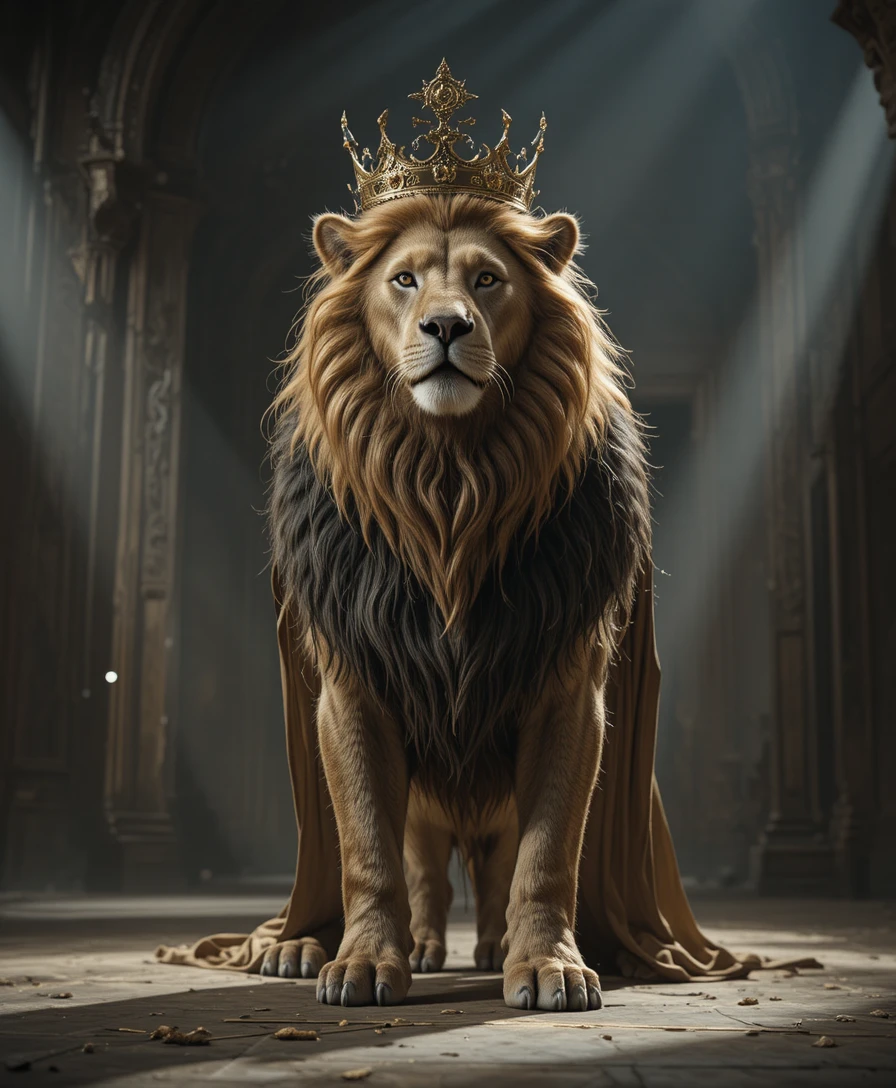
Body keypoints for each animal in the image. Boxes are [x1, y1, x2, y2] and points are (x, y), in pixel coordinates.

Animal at [262, 193, 651, 1012]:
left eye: (488, 280)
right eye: (404, 279)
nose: (447, 327)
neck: (449, 479)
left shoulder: (569, 693)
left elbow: (547, 855)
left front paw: (548, 967)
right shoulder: (352, 692)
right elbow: (368, 850)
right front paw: (363, 963)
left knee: (498, 869)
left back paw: (496, 946)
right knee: (424, 874)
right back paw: (352, 948)